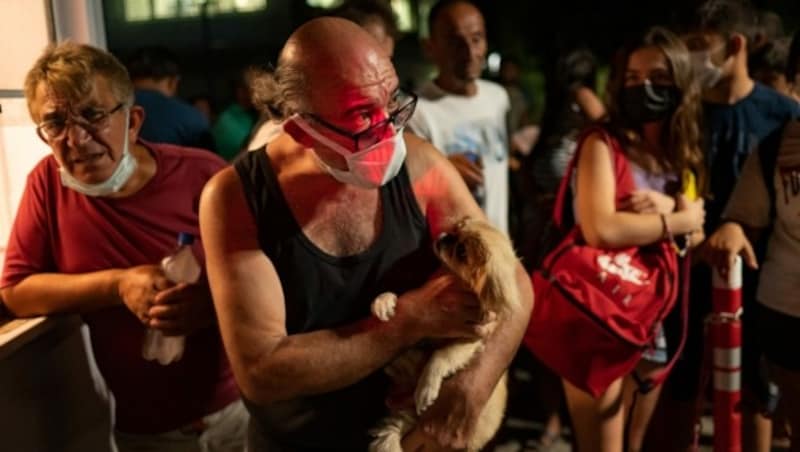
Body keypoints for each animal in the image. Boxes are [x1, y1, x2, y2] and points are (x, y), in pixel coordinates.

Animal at [368, 217, 520, 450]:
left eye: (462, 252)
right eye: (455, 230)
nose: (445, 237)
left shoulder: (471, 339)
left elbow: (441, 356)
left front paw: (426, 387)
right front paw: (384, 301)